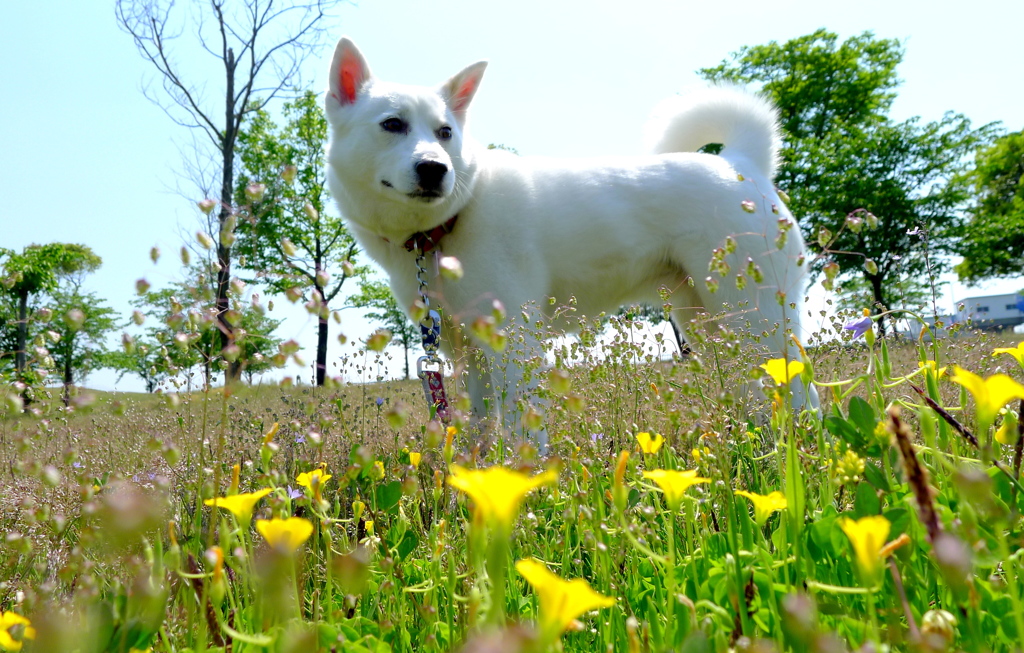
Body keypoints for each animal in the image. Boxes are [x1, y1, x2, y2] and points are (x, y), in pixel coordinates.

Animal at [325, 37, 815, 446]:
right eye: (392, 124)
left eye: (445, 133)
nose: (435, 168)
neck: (449, 225)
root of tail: (741, 163)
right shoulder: (467, 354)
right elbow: (478, 434)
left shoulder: (514, 345)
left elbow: (522, 432)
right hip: (711, 323)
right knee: (757, 393)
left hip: (757, 321)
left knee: (802, 392)